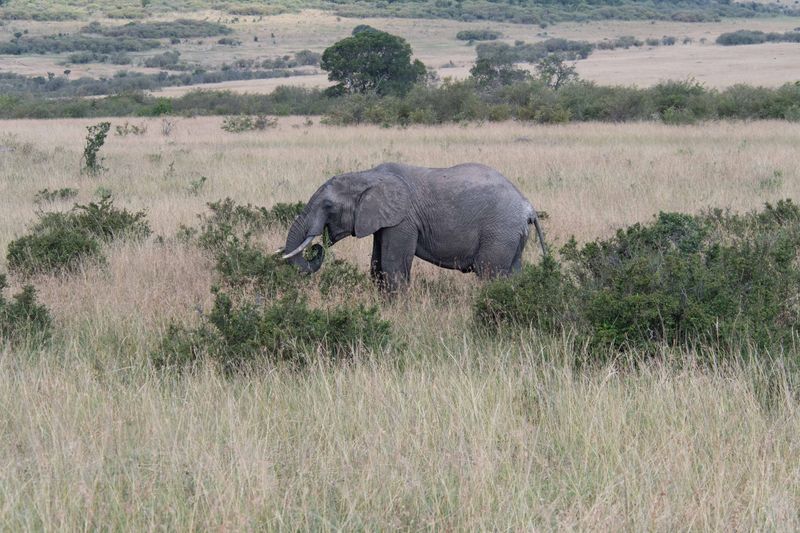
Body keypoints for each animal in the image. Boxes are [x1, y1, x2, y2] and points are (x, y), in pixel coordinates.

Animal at [278, 164, 548, 294]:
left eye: (328, 206)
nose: (318, 246)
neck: (368, 176)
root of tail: (528, 207)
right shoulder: (384, 221)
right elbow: (377, 265)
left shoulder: (403, 220)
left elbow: (392, 265)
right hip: (511, 235)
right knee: (513, 272)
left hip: (499, 231)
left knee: (489, 272)